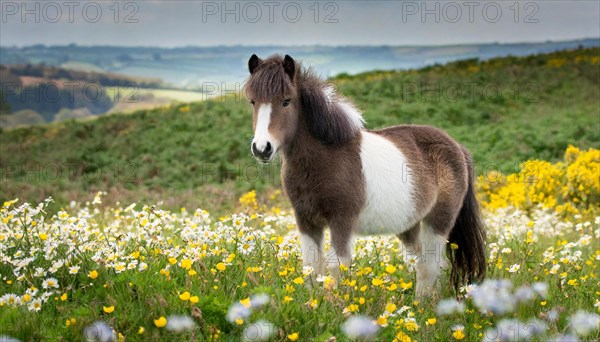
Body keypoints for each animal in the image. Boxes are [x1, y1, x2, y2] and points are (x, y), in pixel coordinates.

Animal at [244, 54, 488, 296]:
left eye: (286, 101)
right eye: (253, 101)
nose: (261, 148)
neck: (326, 156)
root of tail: (458, 148)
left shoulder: (341, 220)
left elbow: (336, 266)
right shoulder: (306, 219)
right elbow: (311, 267)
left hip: (439, 220)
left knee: (430, 265)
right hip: (409, 225)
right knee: (422, 263)